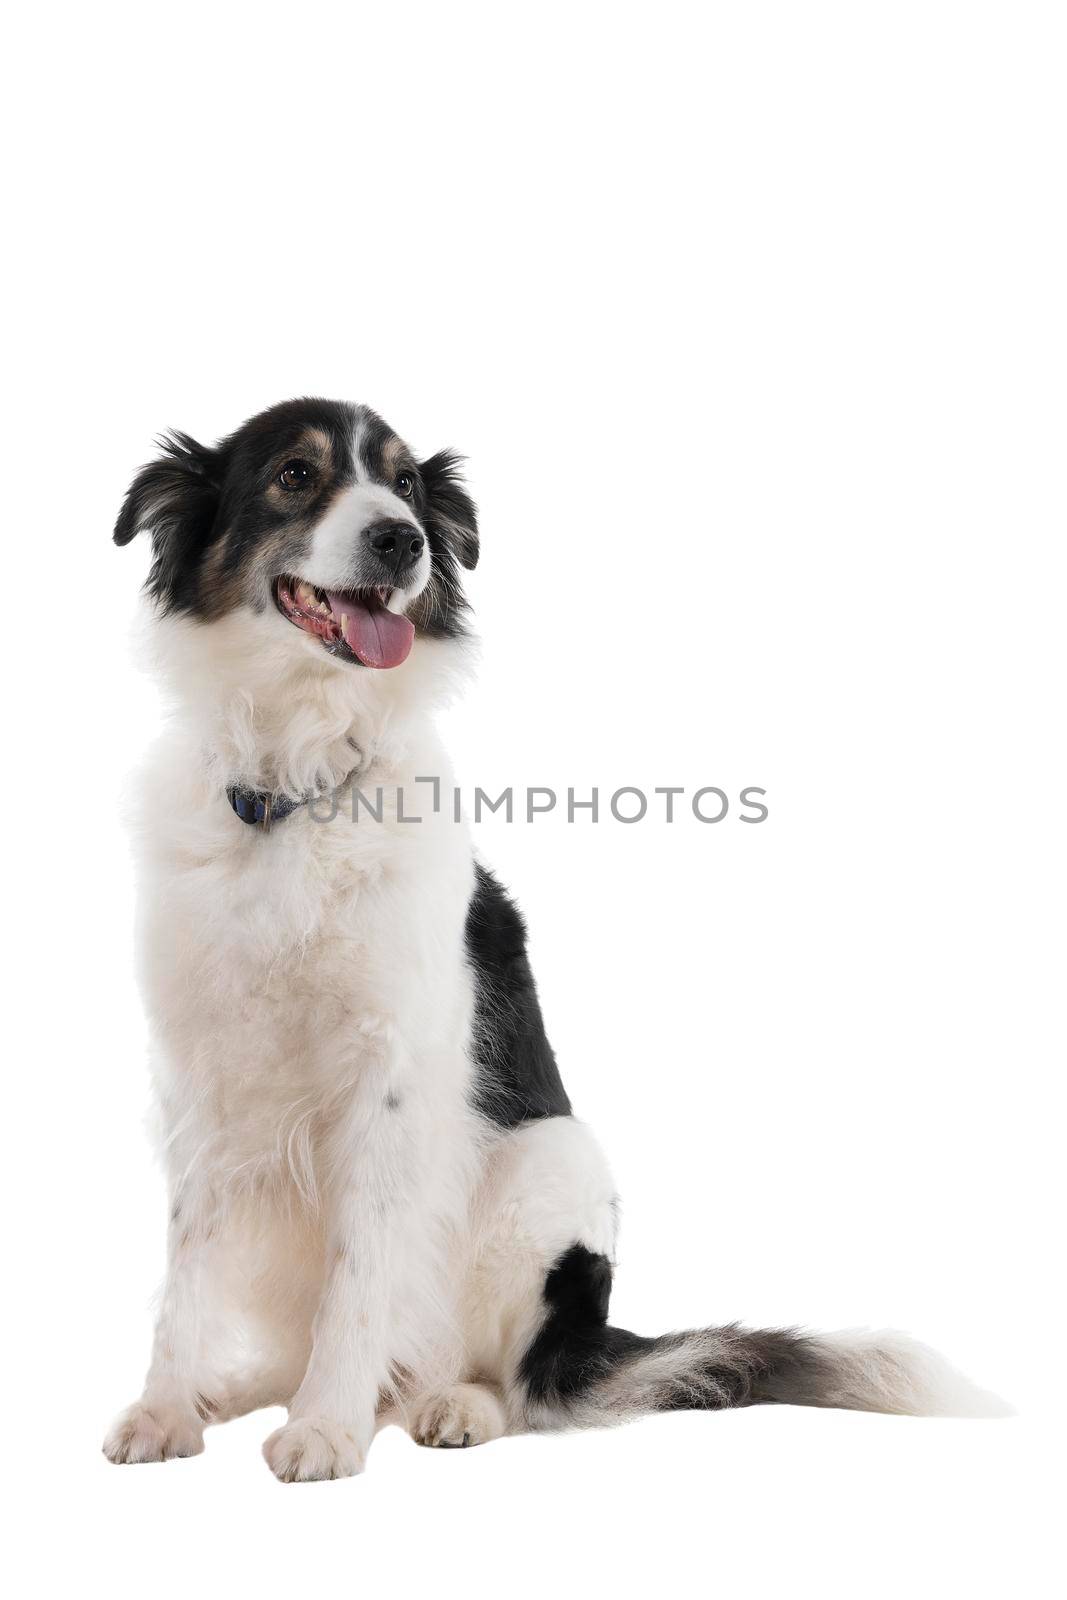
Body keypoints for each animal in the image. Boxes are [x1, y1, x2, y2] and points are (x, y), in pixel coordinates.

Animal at [103, 403, 1004, 1484]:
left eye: (406, 486)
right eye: (294, 474)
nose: (401, 541)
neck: (294, 786)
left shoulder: (393, 1081)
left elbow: (362, 1276)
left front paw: (326, 1429)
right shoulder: (198, 1076)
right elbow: (183, 1271)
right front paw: (167, 1405)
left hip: (550, 1162)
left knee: (519, 1385)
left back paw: (447, 1403)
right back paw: (238, 1390)